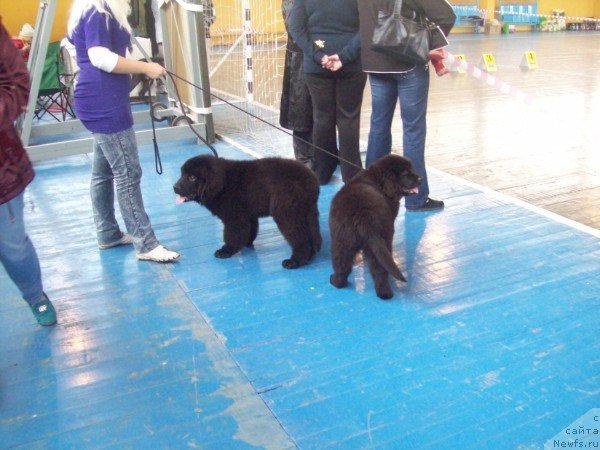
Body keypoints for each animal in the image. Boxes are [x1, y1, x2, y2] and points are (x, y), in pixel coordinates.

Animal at [175, 156, 324, 268]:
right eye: (182, 174)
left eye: (192, 177)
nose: (175, 187)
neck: (223, 184)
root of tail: (311, 181)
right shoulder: (248, 215)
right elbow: (250, 231)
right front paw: (247, 244)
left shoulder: (235, 219)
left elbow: (232, 236)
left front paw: (226, 251)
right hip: (305, 212)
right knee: (310, 235)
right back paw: (309, 257)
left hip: (287, 213)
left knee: (300, 238)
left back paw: (295, 261)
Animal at [328, 155, 422, 298]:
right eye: (405, 173)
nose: (421, 179)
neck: (379, 182)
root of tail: (362, 214)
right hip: (381, 239)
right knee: (379, 269)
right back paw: (385, 293)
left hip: (342, 239)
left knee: (342, 264)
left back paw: (336, 281)